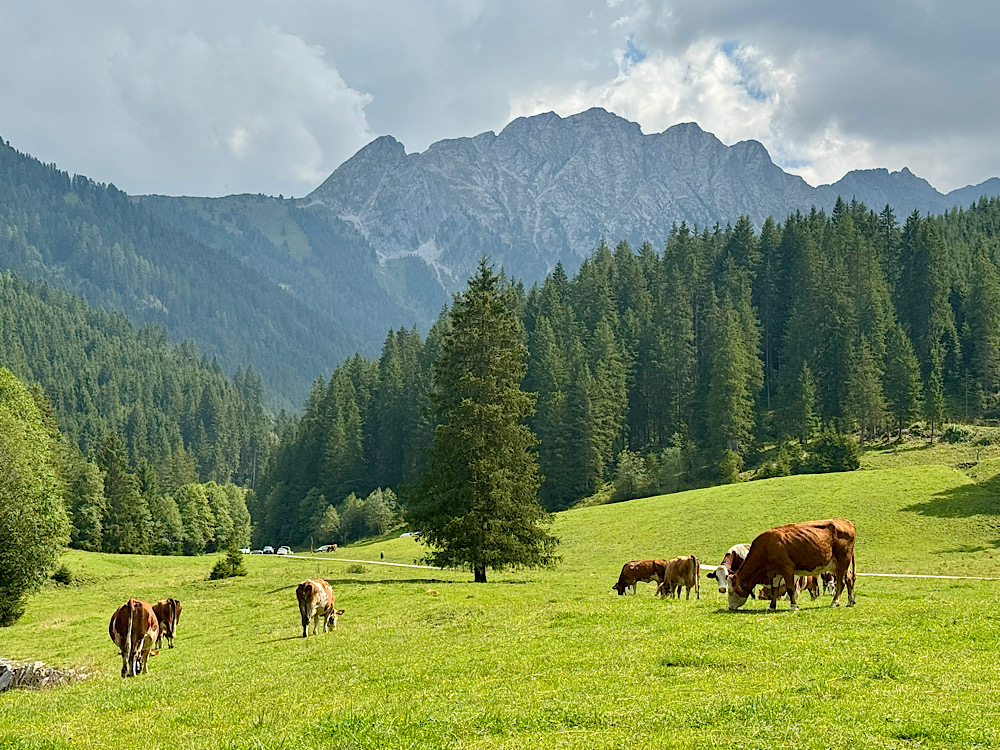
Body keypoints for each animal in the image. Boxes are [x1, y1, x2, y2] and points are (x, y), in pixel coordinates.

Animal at [727, 518, 857, 612]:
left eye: (731, 591)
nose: (730, 607)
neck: (766, 547)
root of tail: (845, 521)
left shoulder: (787, 568)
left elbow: (790, 588)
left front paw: (794, 606)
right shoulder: (775, 573)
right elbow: (774, 589)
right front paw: (772, 606)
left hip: (843, 561)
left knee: (841, 582)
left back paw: (834, 602)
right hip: (837, 565)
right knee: (849, 578)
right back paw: (850, 601)